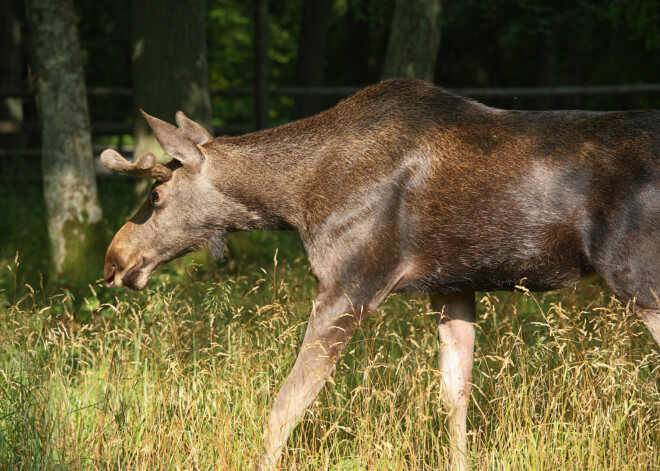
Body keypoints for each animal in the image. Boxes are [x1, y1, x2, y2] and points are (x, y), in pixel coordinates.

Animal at [102, 79, 660, 470]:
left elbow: (287, 403)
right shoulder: (453, 286)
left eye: (155, 195)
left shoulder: (350, 283)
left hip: (637, 276)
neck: (295, 203)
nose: (113, 261)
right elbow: (454, 398)